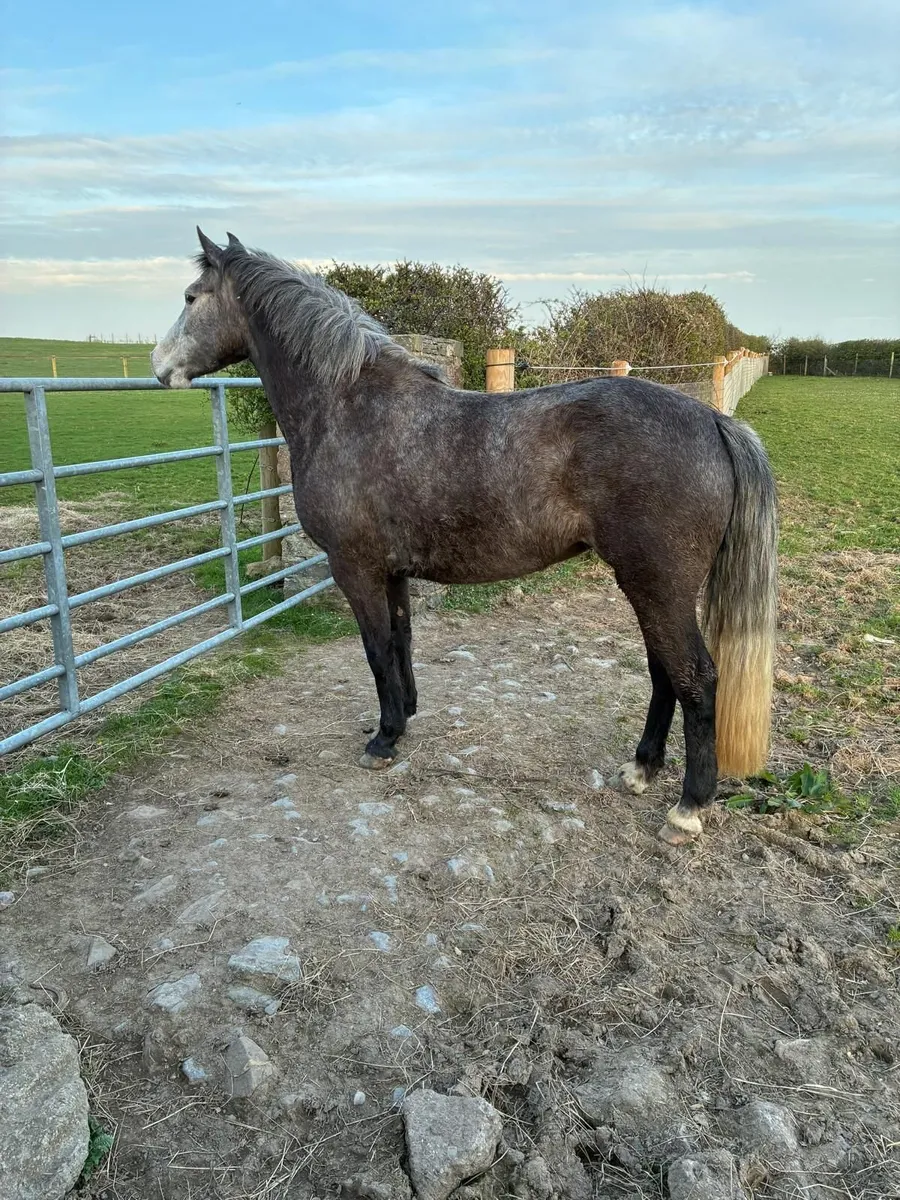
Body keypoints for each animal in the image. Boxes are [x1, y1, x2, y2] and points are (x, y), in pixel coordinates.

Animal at [152, 229, 778, 845]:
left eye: (190, 297)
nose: (159, 368)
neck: (350, 407)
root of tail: (713, 421)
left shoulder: (354, 568)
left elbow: (375, 649)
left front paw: (382, 741)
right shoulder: (392, 572)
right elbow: (400, 641)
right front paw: (403, 718)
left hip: (658, 586)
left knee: (696, 678)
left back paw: (688, 808)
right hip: (652, 588)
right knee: (663, 672)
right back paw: (642, 767)